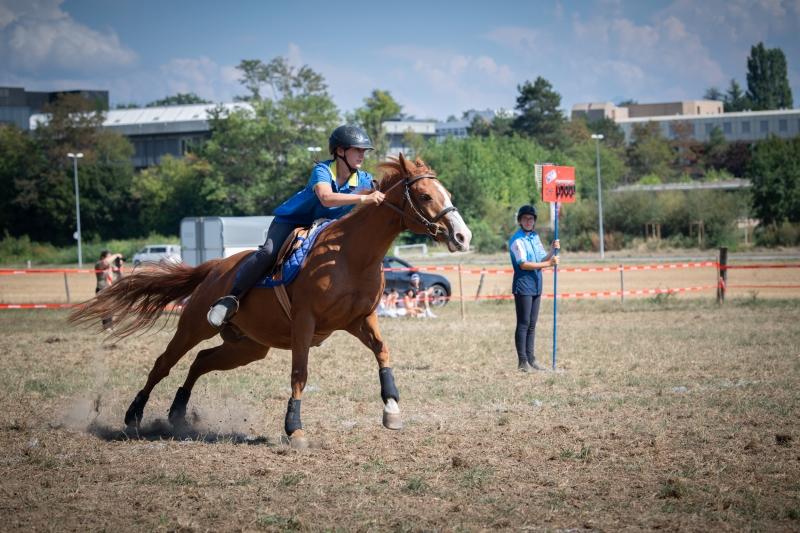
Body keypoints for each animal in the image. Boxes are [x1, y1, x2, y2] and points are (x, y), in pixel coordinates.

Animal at [70, 156, 468, 446]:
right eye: (426, 196)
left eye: (446, 192)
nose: (463, 236)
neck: (351, 255)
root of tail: (216, 267)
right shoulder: (305, 323)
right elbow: (300, 373)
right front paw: (294, 428)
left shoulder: (361, 319)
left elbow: (383, 354)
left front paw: (392, 408)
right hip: (195, 324)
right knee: (164, 363)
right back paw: (134, 414)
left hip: (248, 346)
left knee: (201, 361)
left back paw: (178, 414)